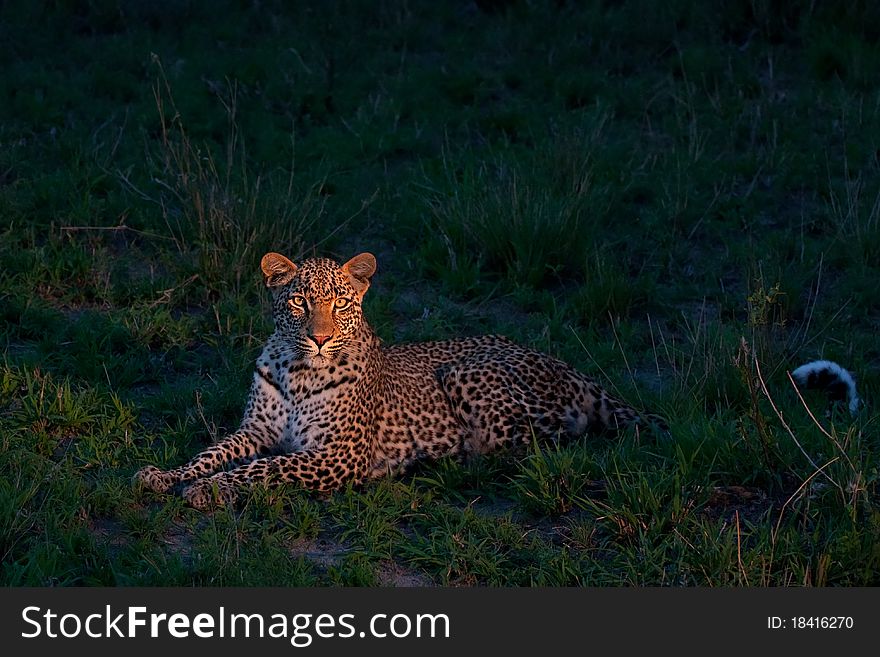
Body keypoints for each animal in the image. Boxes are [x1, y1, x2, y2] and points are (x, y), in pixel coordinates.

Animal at [134, 249, 664, 510]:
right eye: (299, 301)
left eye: (340, 303)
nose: (320, 339)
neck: (296, 368)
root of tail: (576, 371)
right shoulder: (255, 430)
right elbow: (210, 453)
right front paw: (165, 475)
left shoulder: (337, 455)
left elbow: (265, 469)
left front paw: (212, 490)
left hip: (468, 374)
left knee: (550, 443)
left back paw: (442, 463)